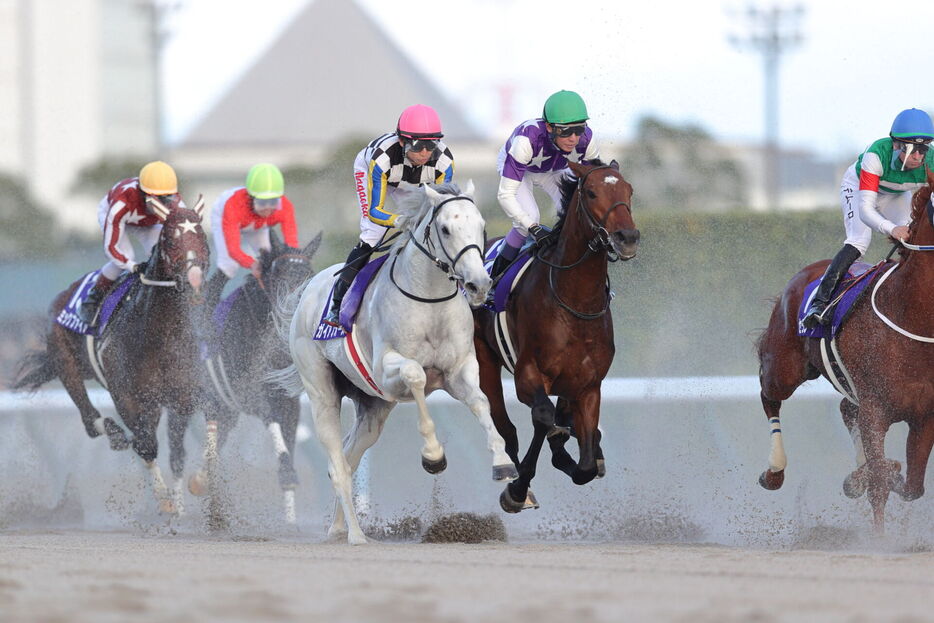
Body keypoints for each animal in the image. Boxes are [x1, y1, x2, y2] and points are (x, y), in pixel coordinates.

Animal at [13, 202, 209, 516]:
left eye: (201, 235)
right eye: (170, 239)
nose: (193, 280)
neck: (159, 335)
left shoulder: (181, 396)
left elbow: (177, 452)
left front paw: (181, 504)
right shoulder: (129, 396)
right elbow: (146, 446)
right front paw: (165, 501)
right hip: (67, 364)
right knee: (90, 420)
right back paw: (113, 431)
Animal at [188, 229, 324, 520]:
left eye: (308, 273)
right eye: (279, 272)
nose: (294, 306)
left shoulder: (288, 401)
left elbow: (288, 458)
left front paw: (291, 521)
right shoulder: (253, 396)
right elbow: (273, 428)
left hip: (227, 411)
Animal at [276, 179, 520, 540]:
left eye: (481, 225)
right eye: (445, 229)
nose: (478, 284)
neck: (430, 302)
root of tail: (308, 291)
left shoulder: (459, 370)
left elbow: (480, 402)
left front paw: (502, 462)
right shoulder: (386, 371)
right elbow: (416, 375)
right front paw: (433, 455)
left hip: (372, 408)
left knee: (349, 456)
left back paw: (337, 527)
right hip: (321, 391)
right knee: (337, 463)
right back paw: (356, 535)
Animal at [476, 160, 644, 512]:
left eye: (629, 190)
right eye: (591, 192)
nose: (627, 237)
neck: (574, 302)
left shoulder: (588, 384)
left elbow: (585, 464)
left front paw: (582, 452)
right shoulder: (528, 373)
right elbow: (542, 417)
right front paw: (517, 489)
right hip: (484, 359)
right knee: (508, 426)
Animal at [756, 168, 934, 532]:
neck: (912, 312)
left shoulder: (926, 415)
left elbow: (911, 486)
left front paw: (865, 477)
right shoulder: (875, 410)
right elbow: (880, 483)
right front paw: (879, 540)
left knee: (844, 407)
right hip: (784, 368)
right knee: (769, 395)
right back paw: (774, 471)